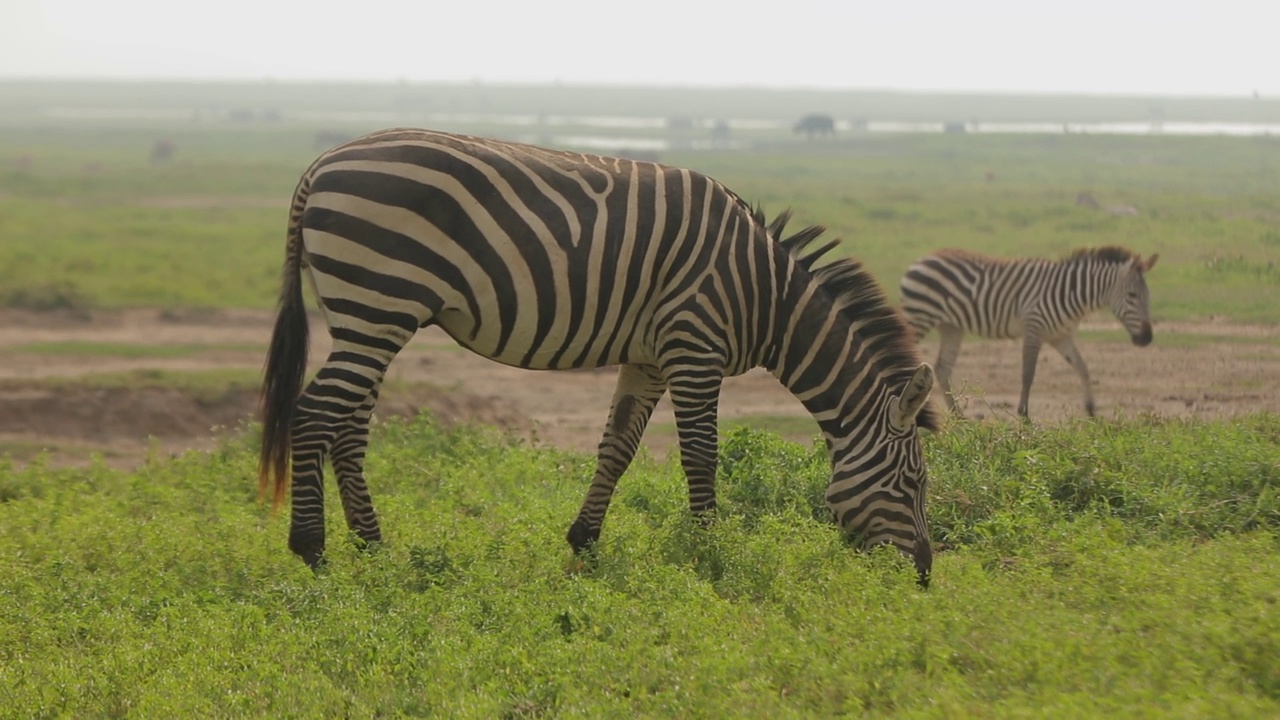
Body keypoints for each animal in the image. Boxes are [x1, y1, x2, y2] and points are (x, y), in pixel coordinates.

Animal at [257, 127, 942, 584]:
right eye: (914, 482)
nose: (924, 576)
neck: (766, 297)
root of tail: (321, 163)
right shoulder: (695, 346)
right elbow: (701, 455)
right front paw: (709, 554)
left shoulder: (649, 357)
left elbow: (618, 447)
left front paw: (583, 544)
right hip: (379, 301)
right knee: (314, 415)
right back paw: (314, 551)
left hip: (366, 316)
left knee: (348, 427)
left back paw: (373, 550)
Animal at [901, 244, 1162, 417]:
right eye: (1132, 295)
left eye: (1148, 296)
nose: (1146, 339)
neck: (1070, 292)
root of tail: (924, 258)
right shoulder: (1033, 328)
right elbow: (1028, 374)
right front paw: (1024, 414)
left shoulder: (1061, 336)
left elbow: (1083, 368)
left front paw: (1091, 410)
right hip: (920, 317)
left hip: (951, 327)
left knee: (943, 368)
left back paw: (959, 417)